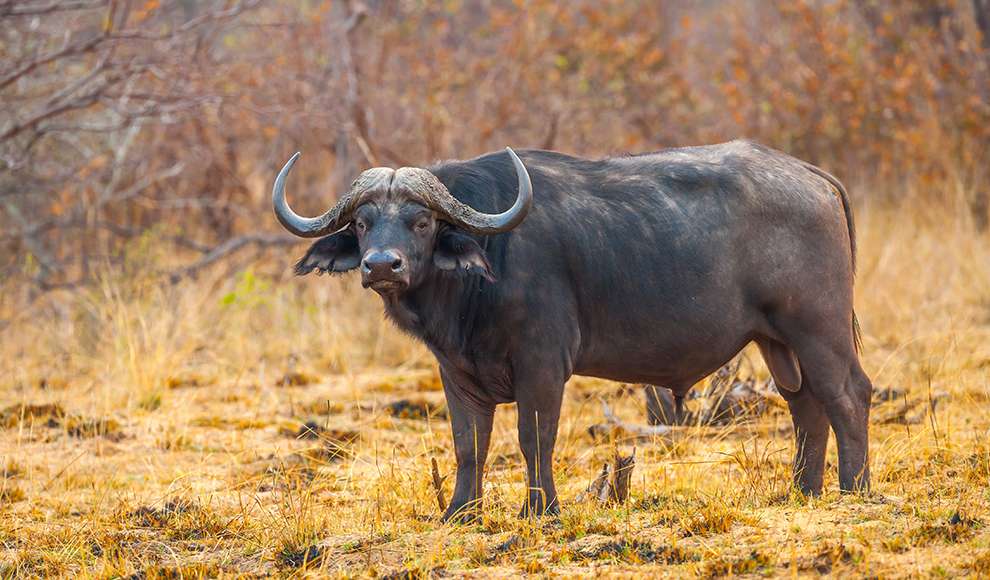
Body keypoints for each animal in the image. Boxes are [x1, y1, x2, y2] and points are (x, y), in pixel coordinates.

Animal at [272, 140, 872, 520]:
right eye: (362, 222)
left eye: (421, 221)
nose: (381, 266)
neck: (488, 266)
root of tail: (814, 177)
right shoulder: (457, 373)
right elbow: (469, 443)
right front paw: (460, 513)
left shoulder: (542, 364)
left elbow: (534, 436)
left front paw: (540, 509)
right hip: (778, 342)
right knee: (806, 406)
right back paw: (802, 492)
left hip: (817, 329)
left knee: (848, 396)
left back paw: (854, 489)